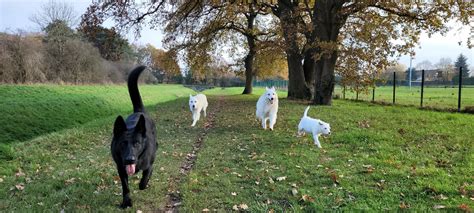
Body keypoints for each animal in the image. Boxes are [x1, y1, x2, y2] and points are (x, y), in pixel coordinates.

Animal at [111, 65, 157, 209]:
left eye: (137, 144)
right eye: (122, 144)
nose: (130, 159)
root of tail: (139, 112)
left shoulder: (147, 164)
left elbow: (145, 177)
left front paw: (143, 184)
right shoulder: (121, 168)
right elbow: (125, 187)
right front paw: (126, 201)